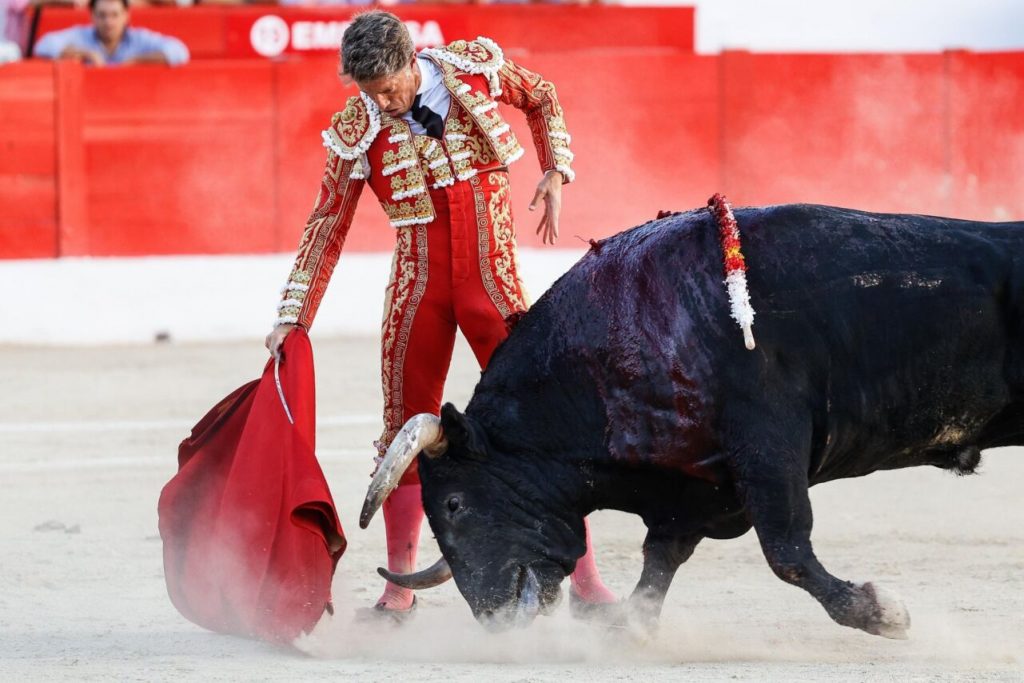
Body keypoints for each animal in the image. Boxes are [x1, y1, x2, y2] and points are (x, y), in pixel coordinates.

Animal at [360, 201, 1024, 634]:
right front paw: (627, 629)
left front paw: (883, 612)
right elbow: (662, 559)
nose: (496, 622)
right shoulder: (694, 487)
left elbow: (786, 549)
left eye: (454, 505)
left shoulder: (768, 445)